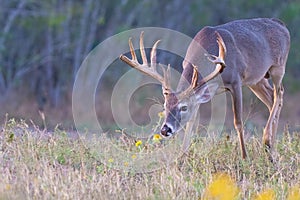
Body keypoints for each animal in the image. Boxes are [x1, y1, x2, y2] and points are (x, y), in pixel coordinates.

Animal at [119, 18, 290, 159]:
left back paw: (267, 142)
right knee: (271, 99)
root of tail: (282, 25)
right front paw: (181, 158)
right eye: (165, 106)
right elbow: (190, 124)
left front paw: (244, 157)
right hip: (257, 79)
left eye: (184, 107)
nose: (165, 130)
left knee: (279, 94)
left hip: (278, 67)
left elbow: (238, 122)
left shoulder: (235, 81)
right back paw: (272, 148)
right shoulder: (199, 95)